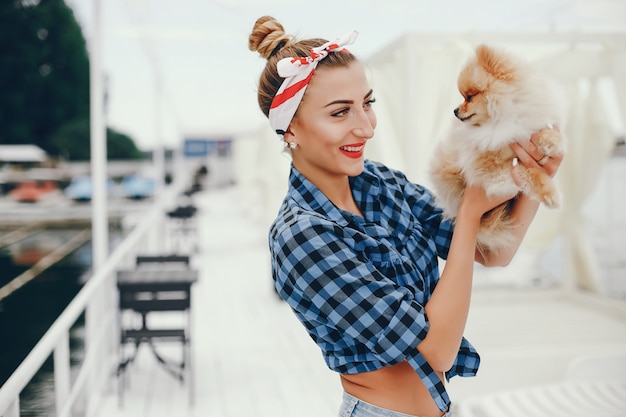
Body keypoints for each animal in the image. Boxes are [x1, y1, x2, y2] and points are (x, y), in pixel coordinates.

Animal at [428, 44, 564, 252]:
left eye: (469, 97)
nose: (455, 111)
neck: (501, 119)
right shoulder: (490, 166)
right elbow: (527, 169)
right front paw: (550, 193)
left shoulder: (526, 123)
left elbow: (542, 132)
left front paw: (552, 142)